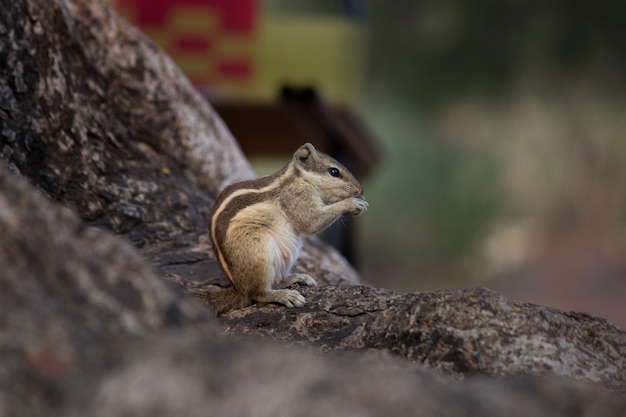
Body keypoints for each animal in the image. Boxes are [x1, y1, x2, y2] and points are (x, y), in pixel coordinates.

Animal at [207, 142, 368, 312]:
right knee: (258, 294)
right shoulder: (297, 197)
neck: (300, 178)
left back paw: (297, 277)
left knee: (276, 282)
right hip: (258, 253)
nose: (360, 190)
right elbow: (310, 221)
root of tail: (240, 289)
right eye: (334, 172)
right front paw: (352, 203)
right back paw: (284, 296)